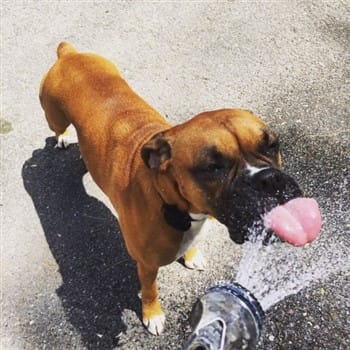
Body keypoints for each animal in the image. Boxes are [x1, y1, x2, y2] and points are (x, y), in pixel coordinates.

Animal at [39, 42, 312, 334]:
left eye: (272, 144)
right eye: (213, 167)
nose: (269, 179)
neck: (171, 201)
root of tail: (68, 54)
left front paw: (191, 255)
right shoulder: (146, 265)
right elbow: (150, 290)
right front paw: (153, 314)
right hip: (54, 116)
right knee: (54, 131)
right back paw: (63, 138)